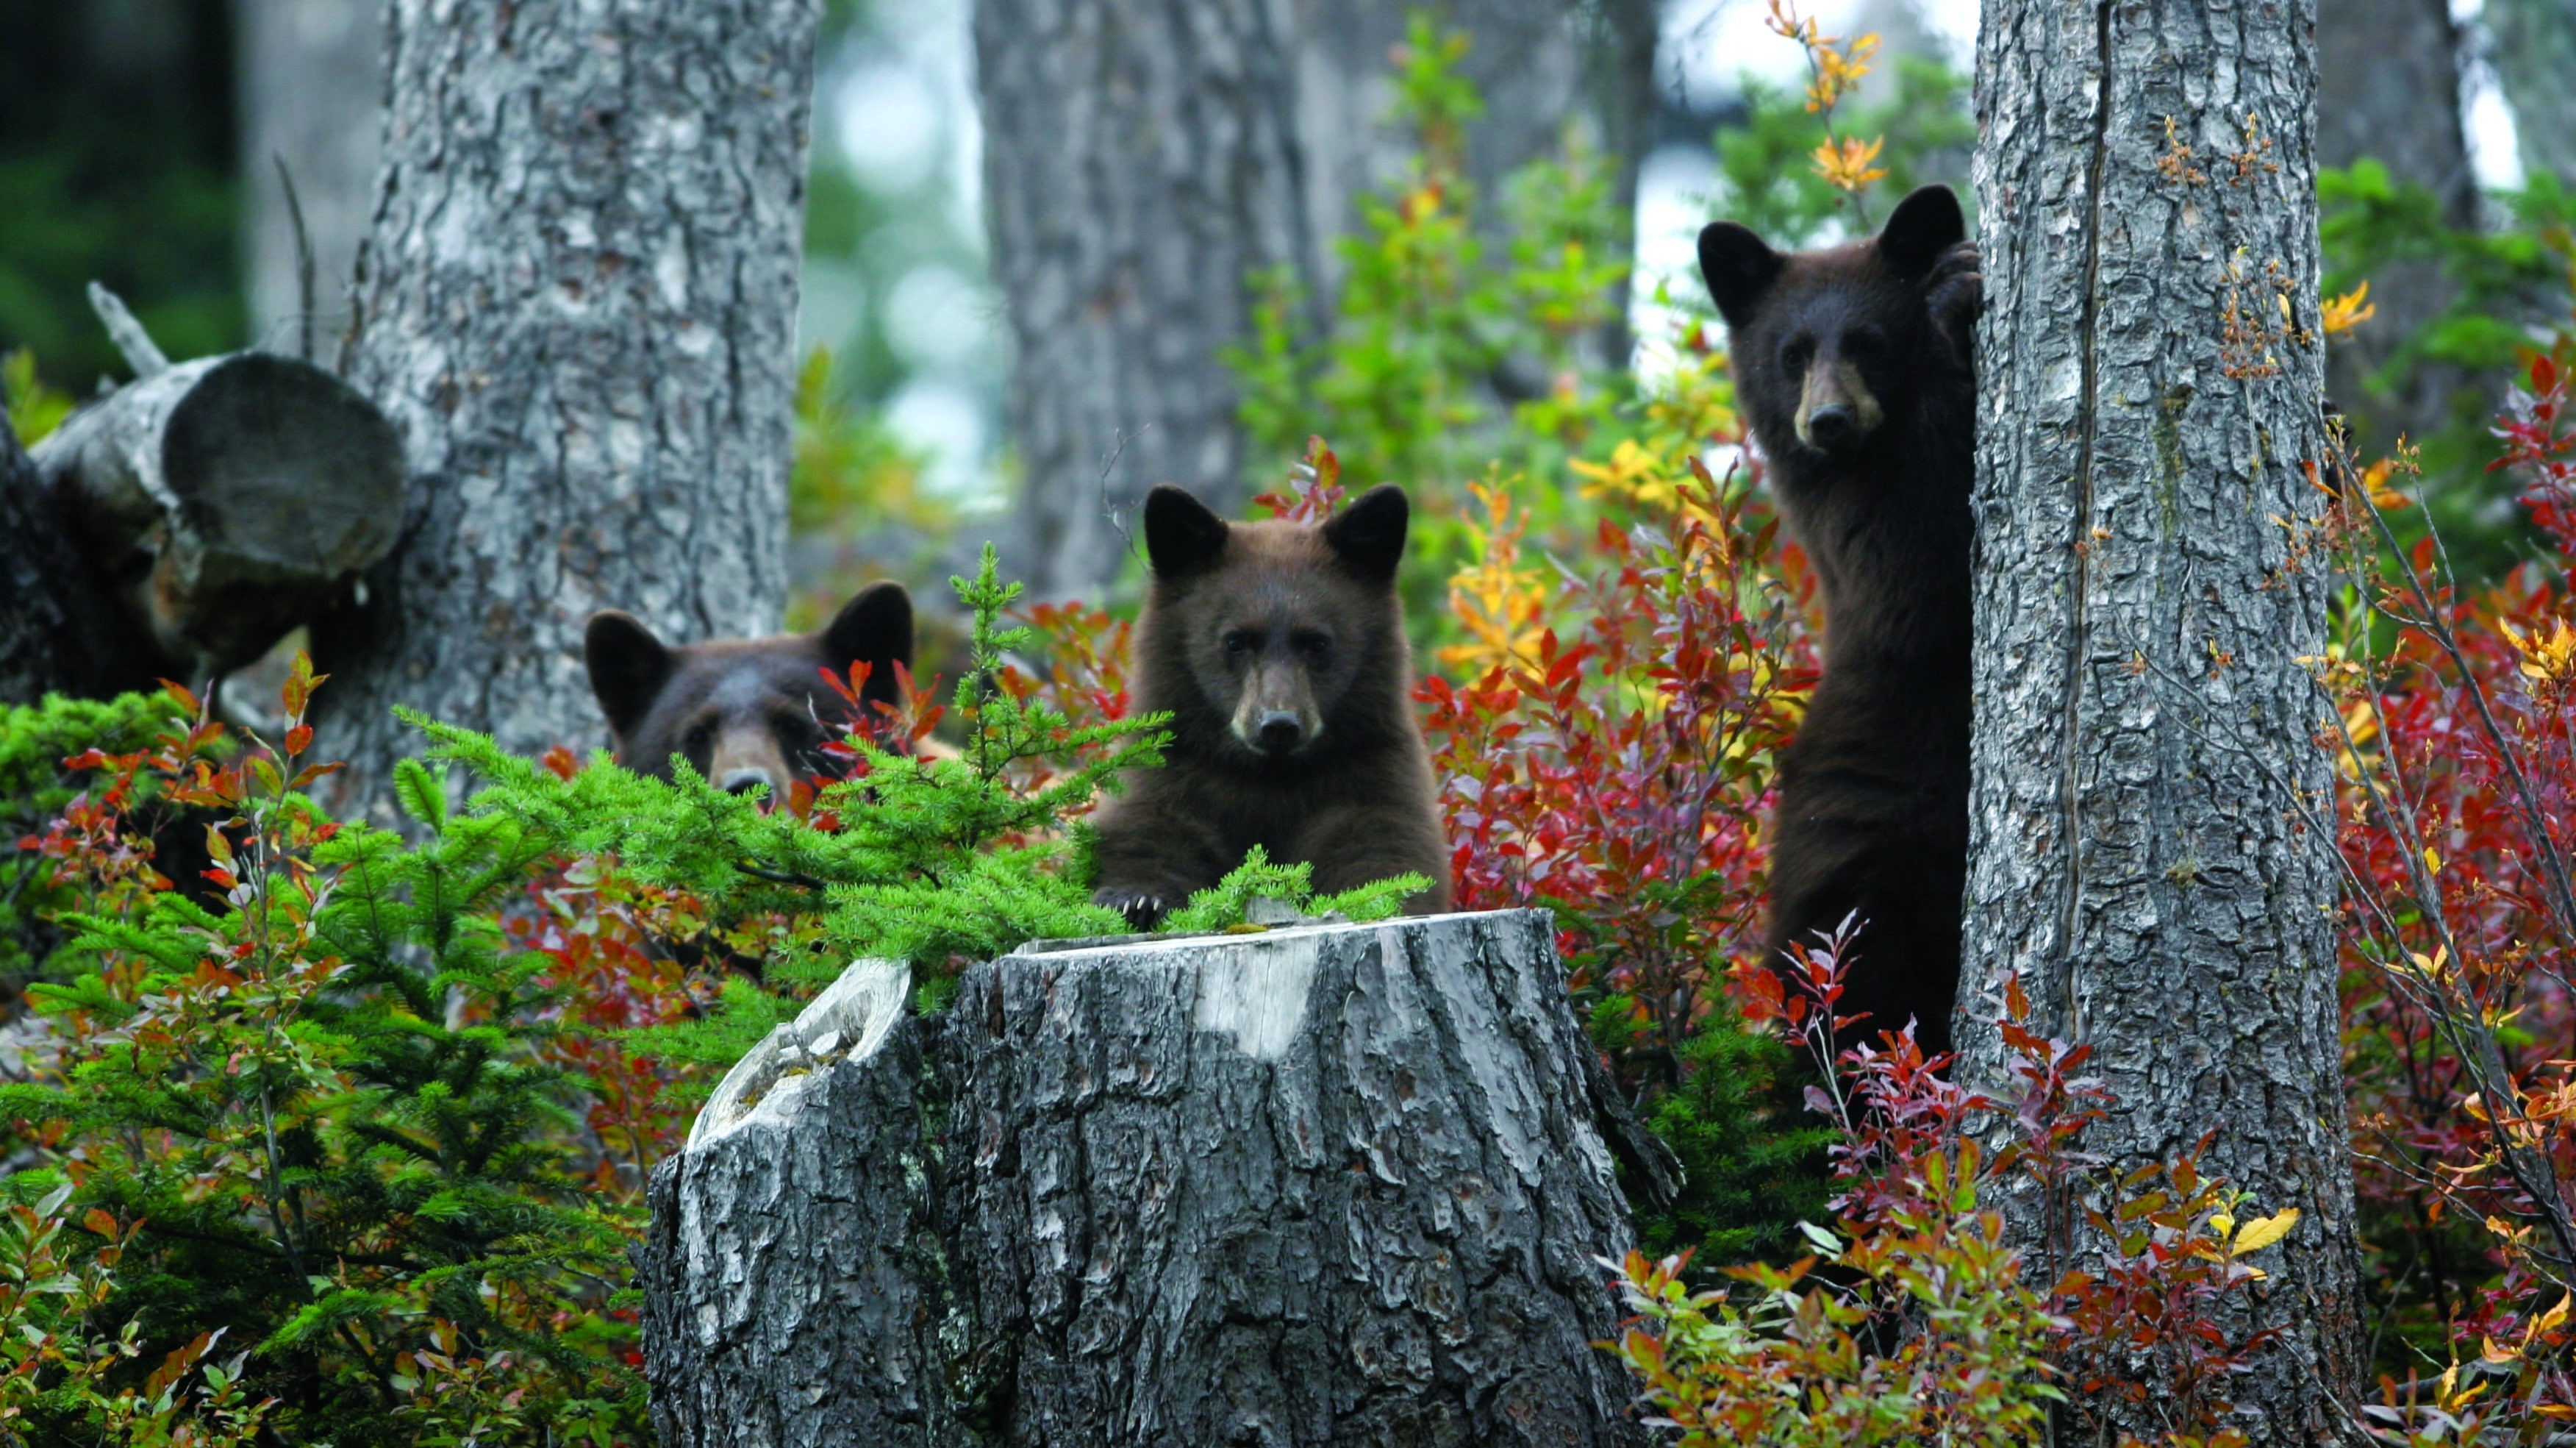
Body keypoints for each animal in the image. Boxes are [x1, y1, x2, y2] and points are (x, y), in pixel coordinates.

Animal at [1087, 482, 1451, 928]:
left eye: (1317, 642)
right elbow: (1152, 830)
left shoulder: (1373, 771)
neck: (1269, 778)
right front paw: (1135, 898)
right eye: (1235, 641)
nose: (1278, 723)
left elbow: (1385, 849)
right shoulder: (1172, 767)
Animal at [1695, 183, 1981, 1059]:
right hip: (1857, 852)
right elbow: (1917, 566)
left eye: (1867, 342)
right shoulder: (1841, 526)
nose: (1825, 419)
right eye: (1792, 352)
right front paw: (1951, 299)